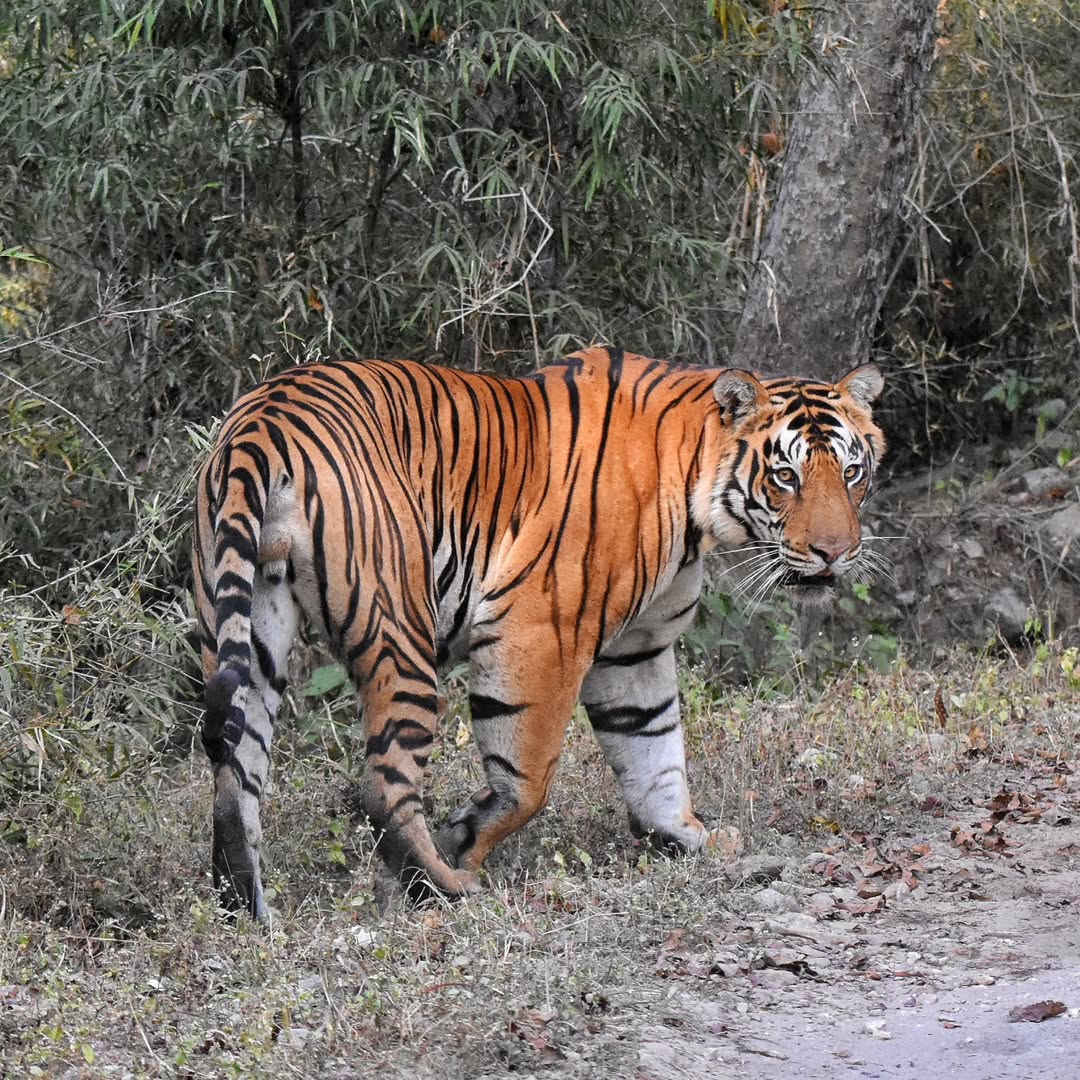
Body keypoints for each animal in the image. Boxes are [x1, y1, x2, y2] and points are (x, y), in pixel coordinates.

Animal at [192, 346, 885, 918]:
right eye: (786, 476)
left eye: (852, 473)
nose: (834, 553)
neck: (694, 497)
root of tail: (264, 420)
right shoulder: (540, 629)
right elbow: (529, 780)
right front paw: (465, 839)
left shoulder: (637, 649)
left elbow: (654, 748)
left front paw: (685, 836)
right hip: (398, 628)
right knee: (384, 784)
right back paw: (438, 887)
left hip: (251, 628)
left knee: (234, 773)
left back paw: (247, 911)